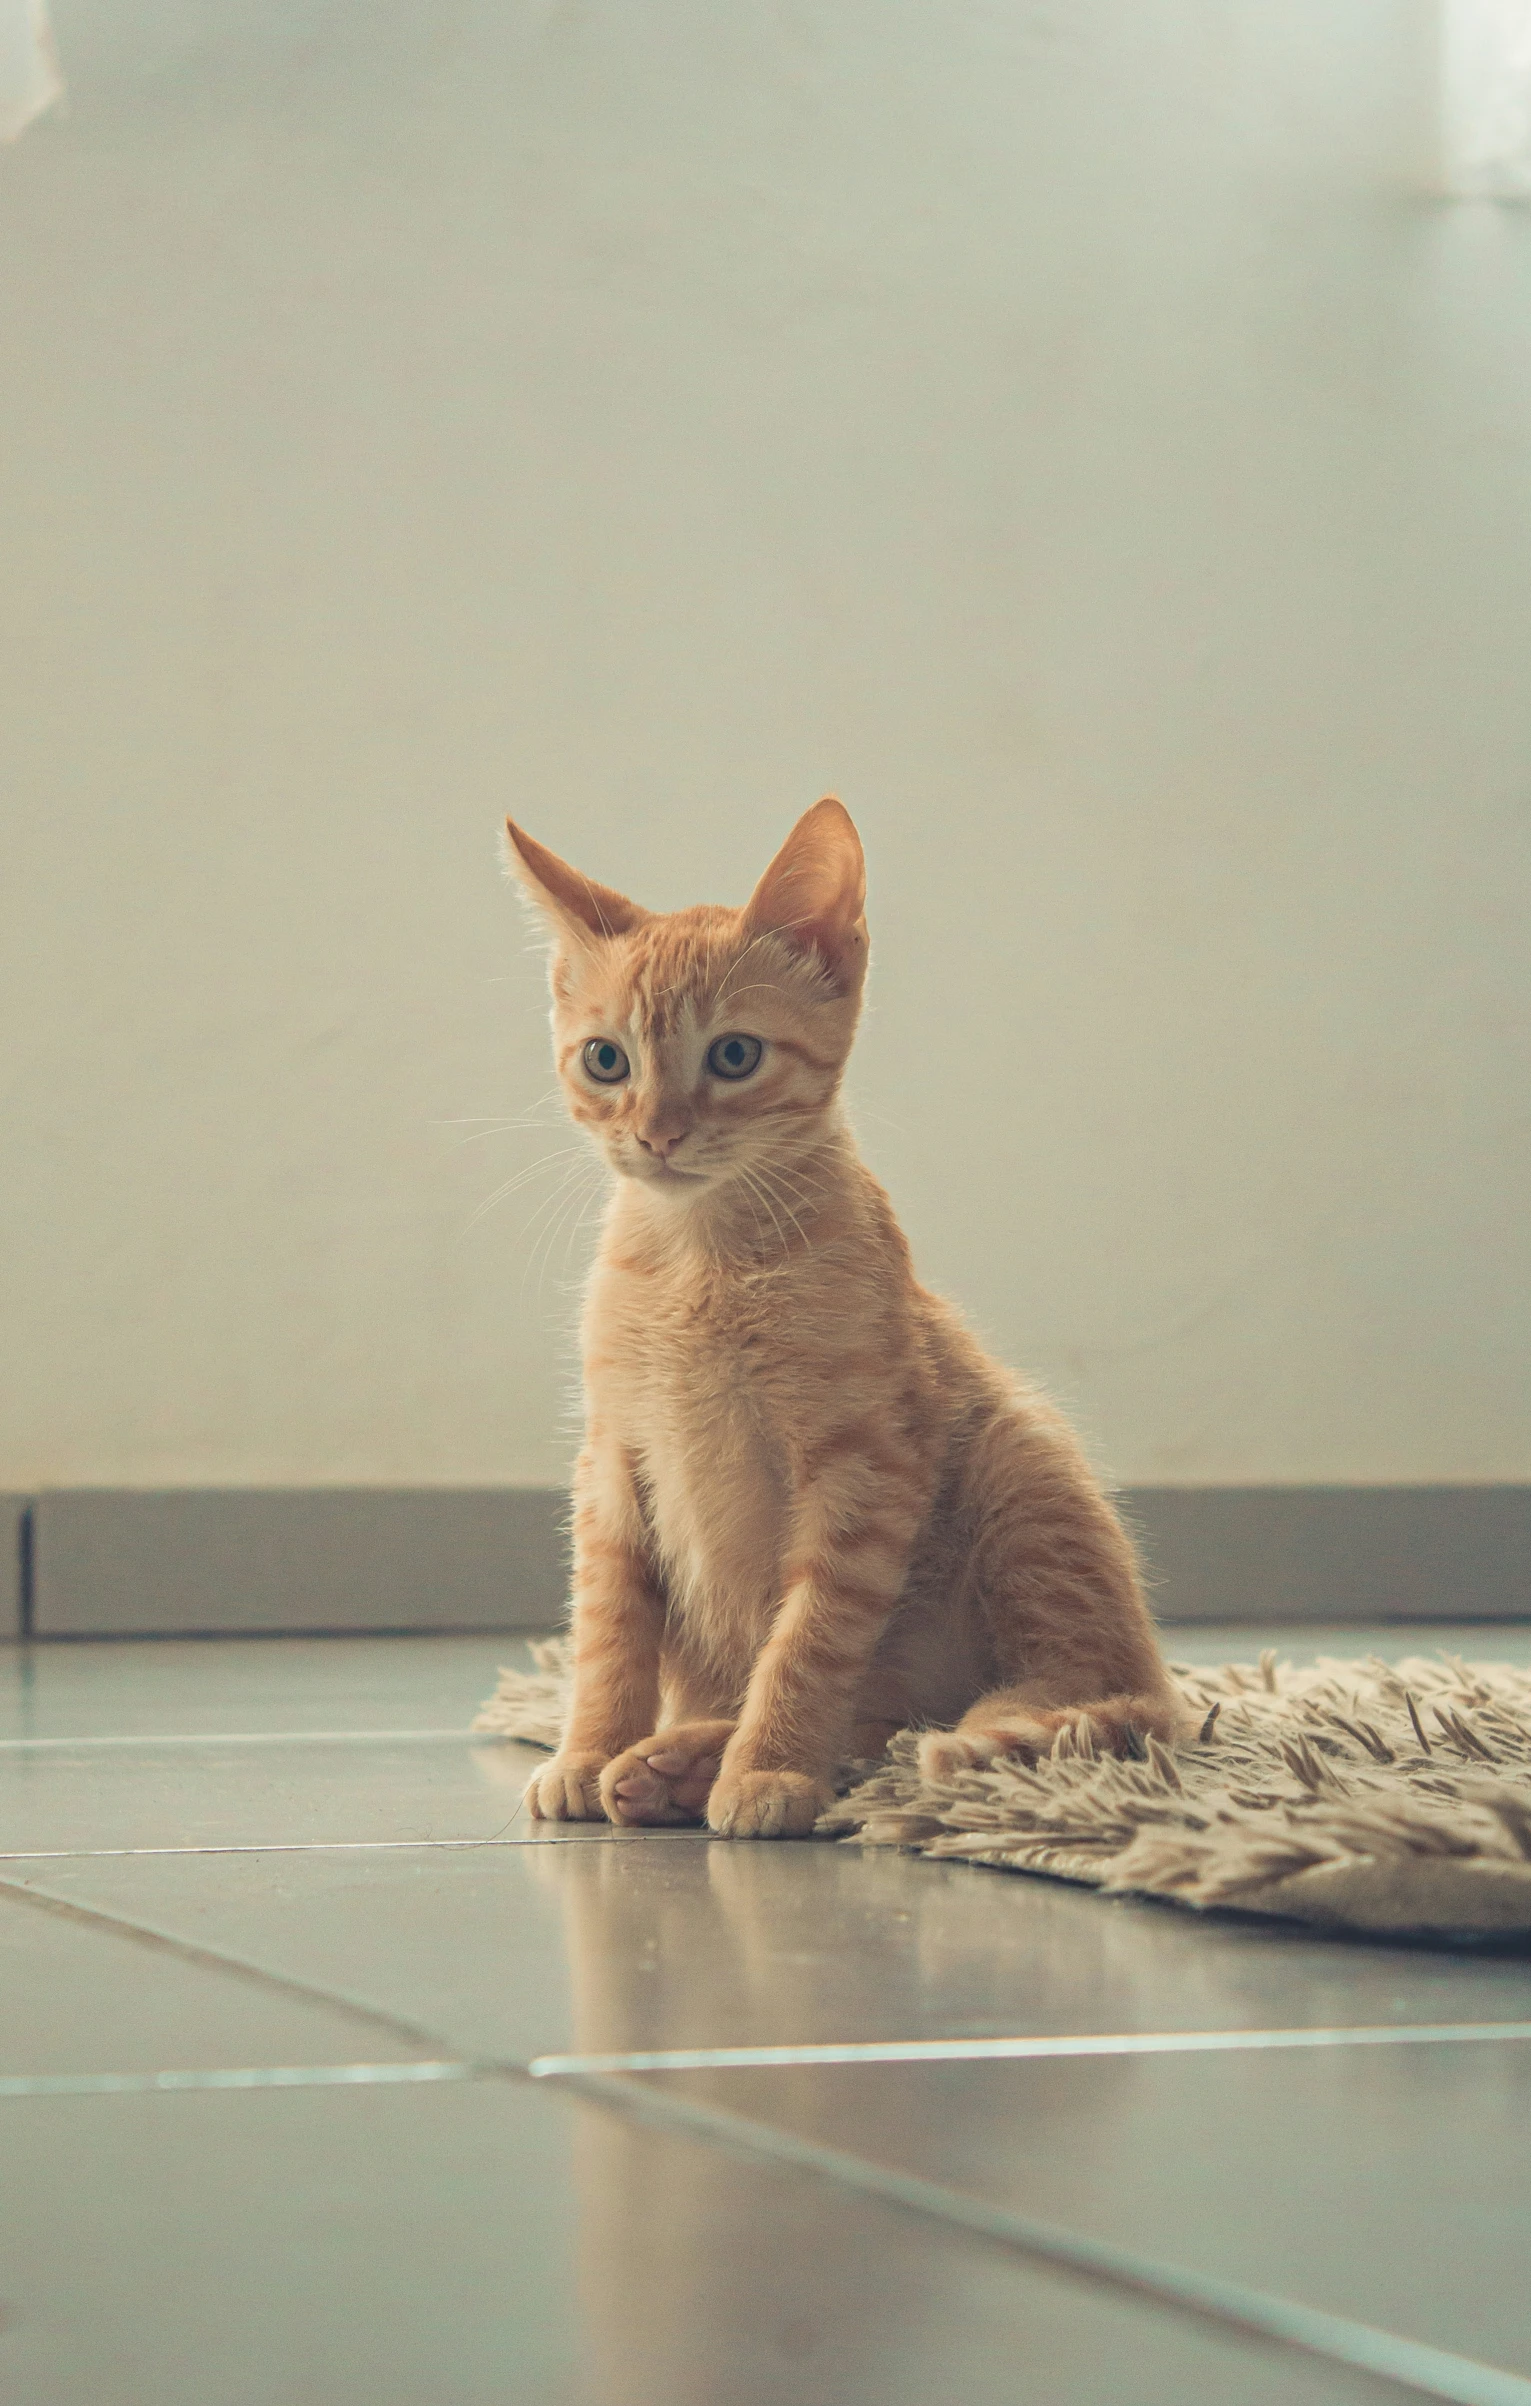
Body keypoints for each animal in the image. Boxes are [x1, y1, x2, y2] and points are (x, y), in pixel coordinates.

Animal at [507, 798, 1189, 1828]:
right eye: (605, 1059)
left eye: (734, 1054)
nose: (657, 1135)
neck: (699, 1256)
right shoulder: (612, 1465)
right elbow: (607, 1630)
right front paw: (588, 1749)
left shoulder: (863, 1467)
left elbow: (808, 1639)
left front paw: (769, 1769)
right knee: (884, 1724)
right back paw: (675, 1760)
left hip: (1022, 1464)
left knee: (1078, 1690)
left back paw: (985, 1730)